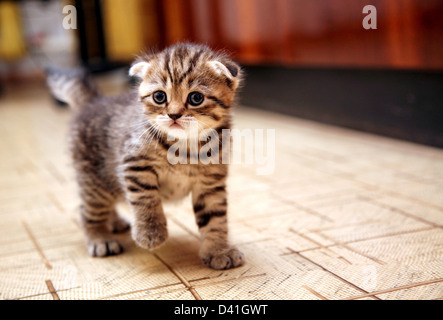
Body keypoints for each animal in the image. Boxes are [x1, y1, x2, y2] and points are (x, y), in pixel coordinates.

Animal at [46, 42, 246, 270]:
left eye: (196, 98)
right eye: (160, 96)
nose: (174, 114)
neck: (185, 147)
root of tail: (94, 102)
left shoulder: (211, 183)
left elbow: (215, 218)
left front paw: (219, 250)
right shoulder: (134, 164)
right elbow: (146, 199)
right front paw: (151, 233)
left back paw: (113, 221)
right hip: (96, 180)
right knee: (88, 209)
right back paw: (100, 238)